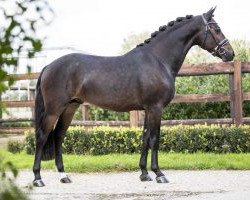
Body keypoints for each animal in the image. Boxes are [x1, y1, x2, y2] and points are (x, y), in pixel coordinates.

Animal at [32, 7, 233, 186]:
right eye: (216, 29)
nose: (230, 54)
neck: (158, 59)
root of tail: (48, 66)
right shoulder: (156, 108)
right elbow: (155, 139)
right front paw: (159, 174)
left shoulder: (147, 109)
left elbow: (145, 138)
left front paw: (144, 173)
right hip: (54, 110)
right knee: (42, 136)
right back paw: (38, 178)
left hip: (70, 107)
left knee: (58, 136)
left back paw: (63, 175)